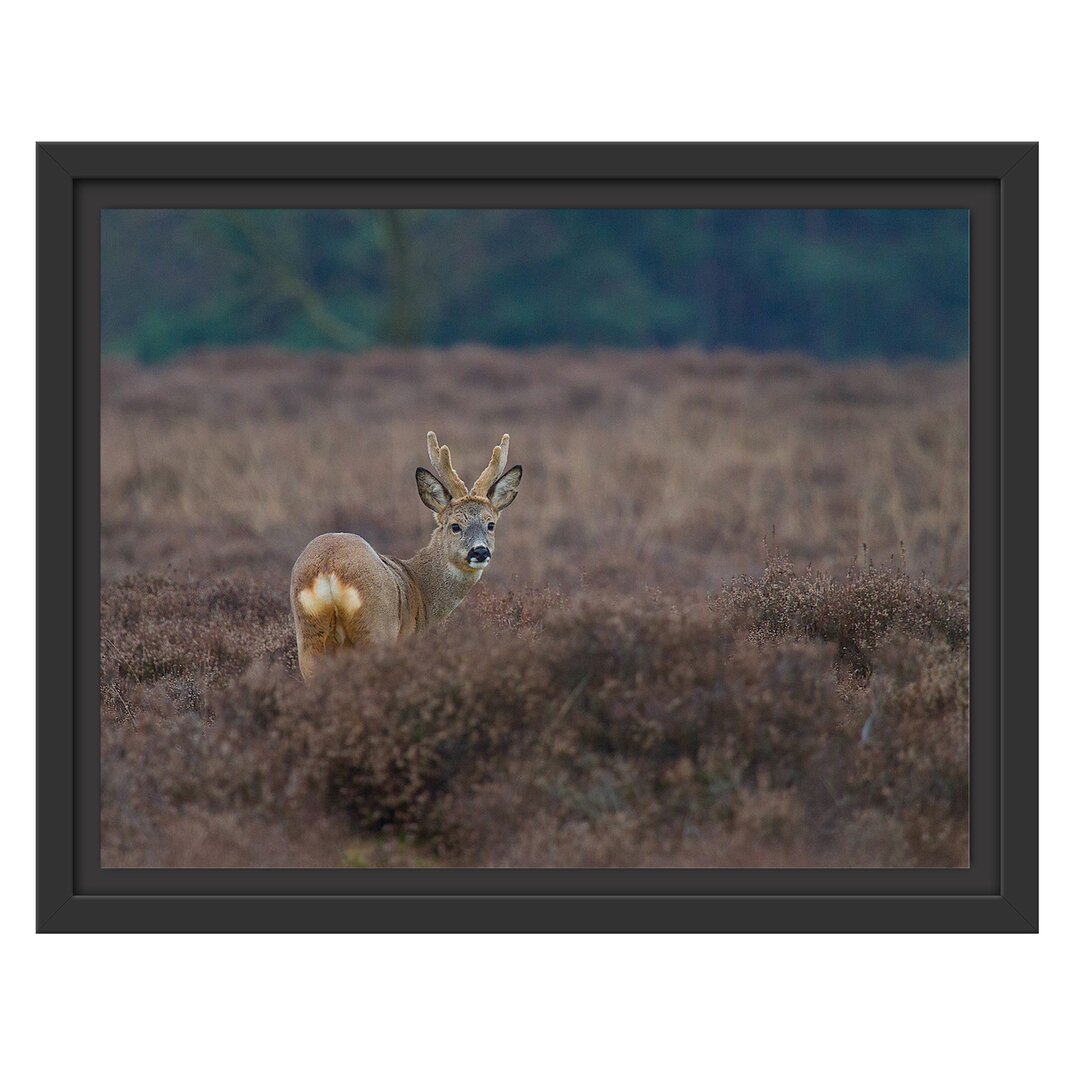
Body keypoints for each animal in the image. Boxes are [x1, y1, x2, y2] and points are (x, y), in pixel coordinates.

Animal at [289, 427, 520, 673]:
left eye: (490, 524)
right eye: (455, 526)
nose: (480, 551)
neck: (421, 589)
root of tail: (328, 568)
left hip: (309, 634)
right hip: (376, 627)